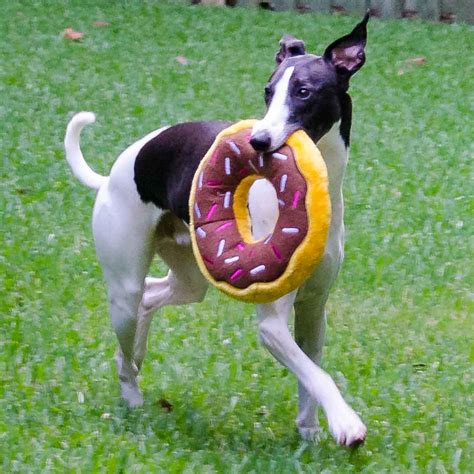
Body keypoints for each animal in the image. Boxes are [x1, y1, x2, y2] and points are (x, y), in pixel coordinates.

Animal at [63, 12, 368, 446]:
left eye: (304, 92)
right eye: (268, 91)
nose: (258, 141)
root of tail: (110, 176)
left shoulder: (313, 309)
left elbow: (311, 374)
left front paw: (309, 431)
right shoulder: (272, 325)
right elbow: (318, 375)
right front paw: (346, 423)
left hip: (189, 278)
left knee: (151, 297)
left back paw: (135, 356)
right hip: (123, 285)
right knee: (132, 313)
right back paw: (132, 395)